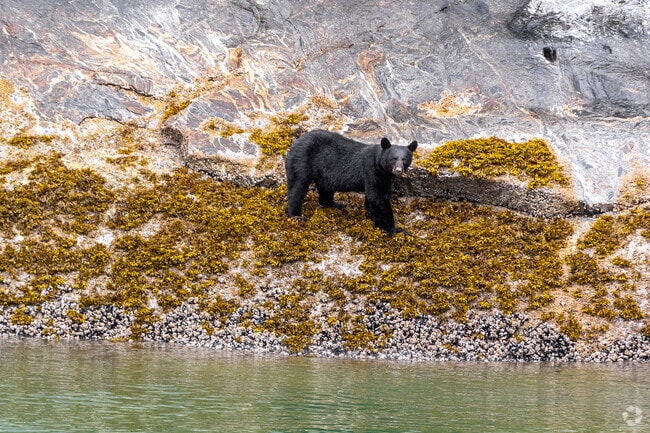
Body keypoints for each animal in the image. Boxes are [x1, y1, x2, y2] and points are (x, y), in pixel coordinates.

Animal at [284, 129, 418, 234]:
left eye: (405, 159)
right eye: (393, 158)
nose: (398, 170)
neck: (379, 164)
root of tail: (294, 144)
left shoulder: (383, 177)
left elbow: (372, 199)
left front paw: (372, 216)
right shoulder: (372, 172)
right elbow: (378, 198)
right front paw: (395, 229)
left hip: (323, 173)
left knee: (325, 189)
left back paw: (336, 204)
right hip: (301, 162)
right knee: (297, 187)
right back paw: (296, 216)